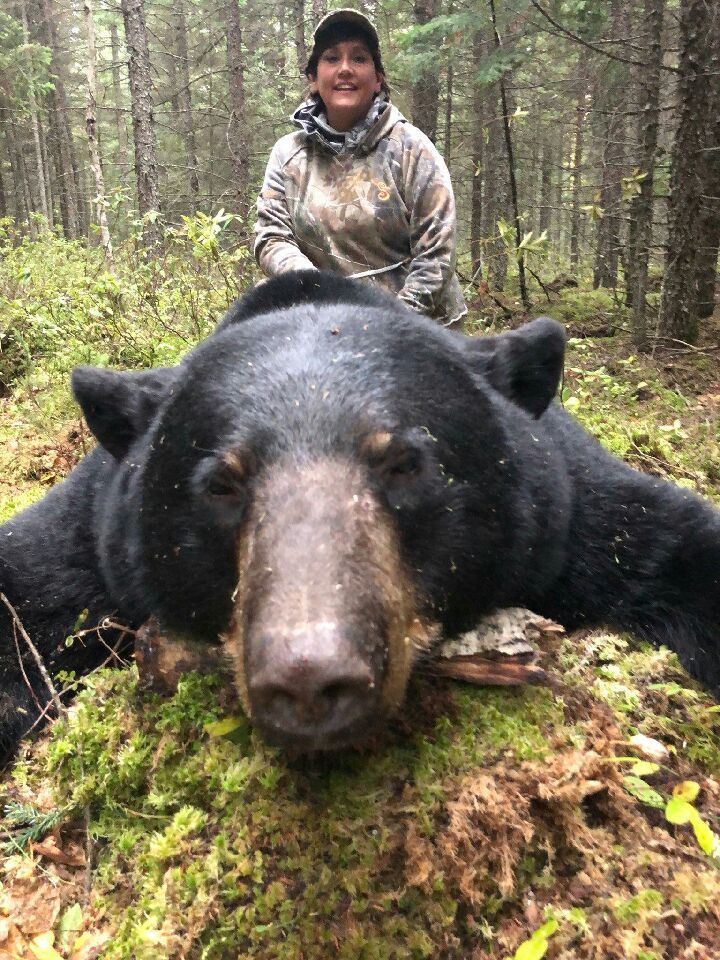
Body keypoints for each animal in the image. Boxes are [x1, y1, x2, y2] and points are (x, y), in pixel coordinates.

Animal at [1, 270, 719, 757]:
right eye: (221, 484)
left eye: (404, 462)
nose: (309, 677)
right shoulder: (93, 542)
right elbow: (25, 594)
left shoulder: (576, 516)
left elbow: (675, 546)